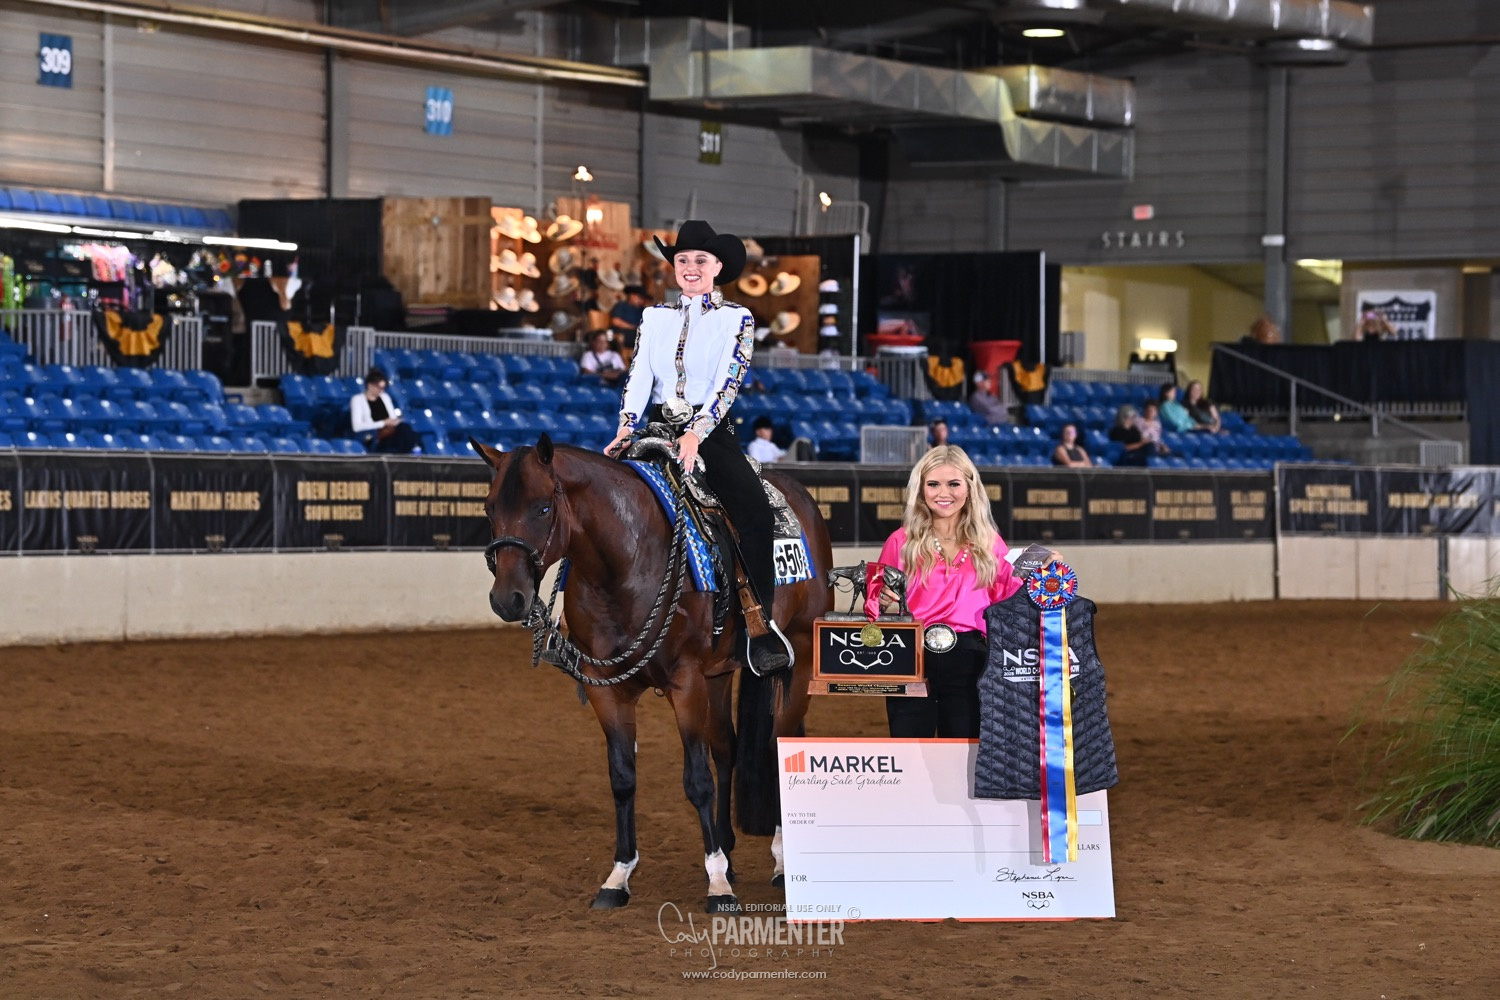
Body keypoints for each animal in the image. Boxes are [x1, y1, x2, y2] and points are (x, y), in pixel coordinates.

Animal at [472, 433, 833, 913]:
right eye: (490, 508)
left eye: (543, 507)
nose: (507, 599)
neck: (625, 562)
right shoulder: (609, 692)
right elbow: (623, 779)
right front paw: (618, 878)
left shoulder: (686, 681)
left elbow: (697, 781)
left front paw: (718, 886)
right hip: (720, 675)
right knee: (727, 749)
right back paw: (729, 849)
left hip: (799, 655)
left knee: (778, 744)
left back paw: (778, 862)